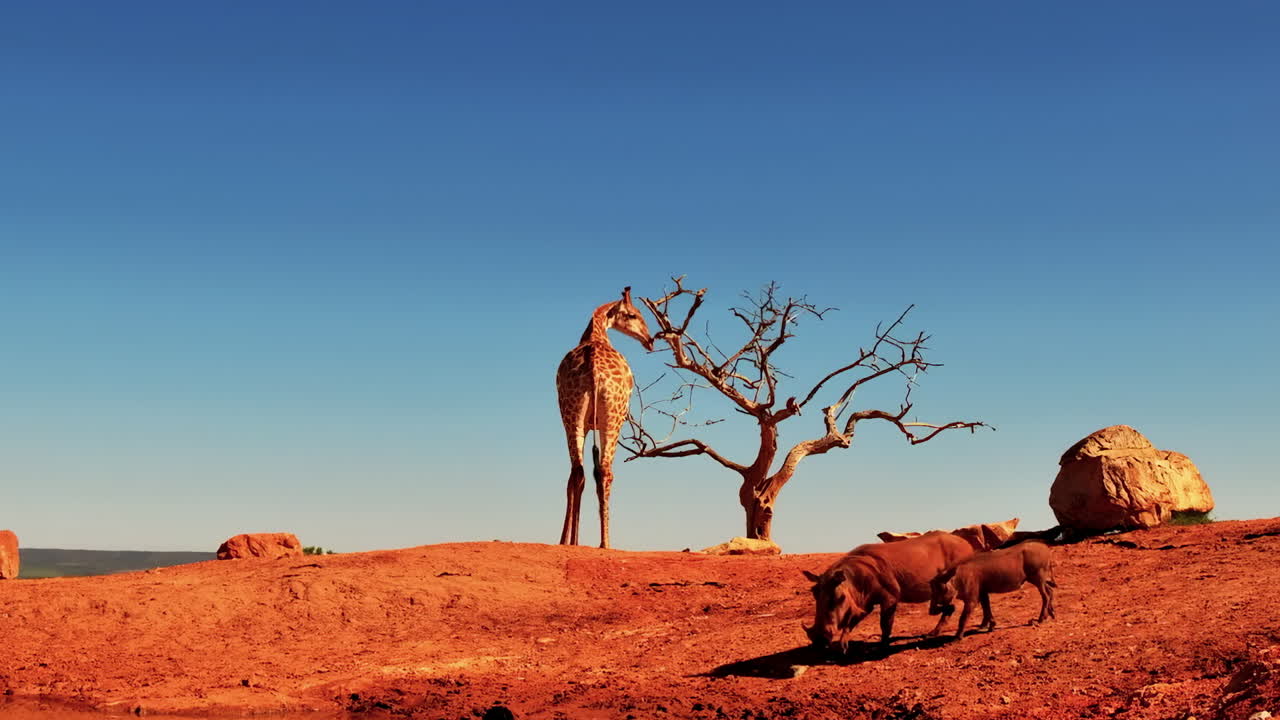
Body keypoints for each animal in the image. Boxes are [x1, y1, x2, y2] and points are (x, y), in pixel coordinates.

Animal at [556, 287, 653, 549]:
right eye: (633, 314)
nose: (650, 340)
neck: (595, 336)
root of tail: (594, 369)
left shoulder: (584, 424)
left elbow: (576, 476)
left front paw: (570, 540)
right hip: (614, 418)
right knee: (605, 472)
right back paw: (605, 542)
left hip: (571, 414)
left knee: (578, 471)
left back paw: (571, 541)